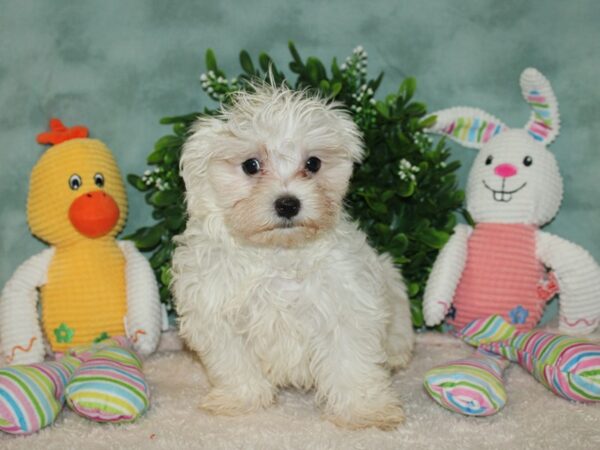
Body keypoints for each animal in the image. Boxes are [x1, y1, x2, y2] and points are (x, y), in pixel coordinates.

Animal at [171, 83, 414, 428]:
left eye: (313, 164)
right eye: (250, 165)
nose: (288, 204)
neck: (278, 253)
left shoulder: (347, 305)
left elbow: (352, 363)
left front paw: (365, 410)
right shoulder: (216, 313)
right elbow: (235, 365)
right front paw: (241, 400)